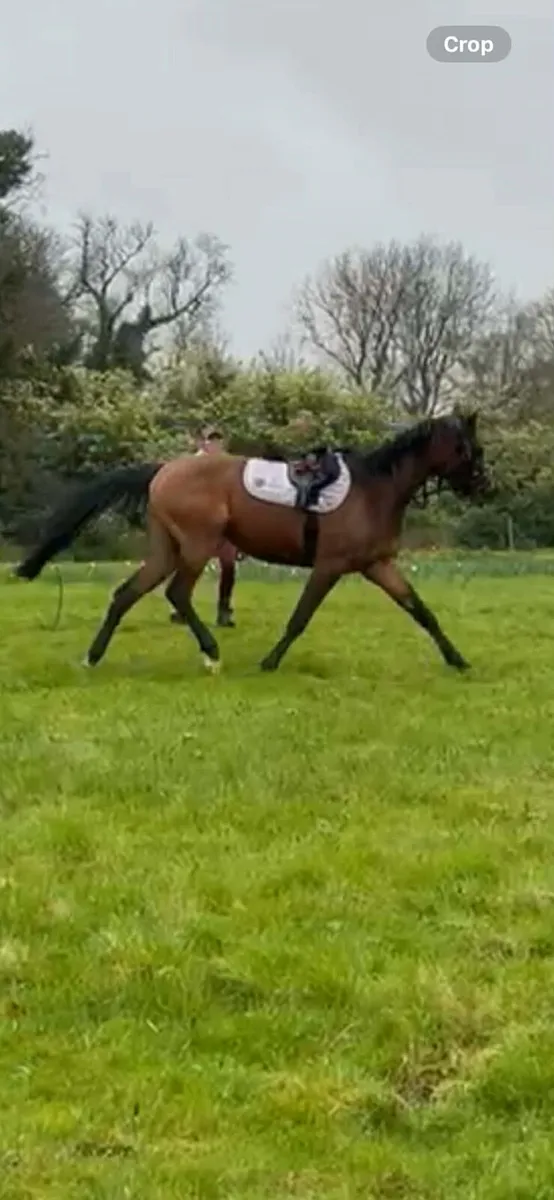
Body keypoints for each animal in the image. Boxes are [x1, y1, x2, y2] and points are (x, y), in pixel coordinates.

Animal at [15, 412, 490, 675]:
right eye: (471, 449)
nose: (484, 487)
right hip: (197, 546)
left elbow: (421, 611)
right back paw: (210, 653)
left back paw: (93, 658)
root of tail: (163, 470)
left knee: (126, 594)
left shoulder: (377, 565)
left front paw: (458, 660)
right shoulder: (330, 566)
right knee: (177, 593)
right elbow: (299, 619)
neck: (375, 489)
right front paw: (270, 661)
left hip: (167, 549)